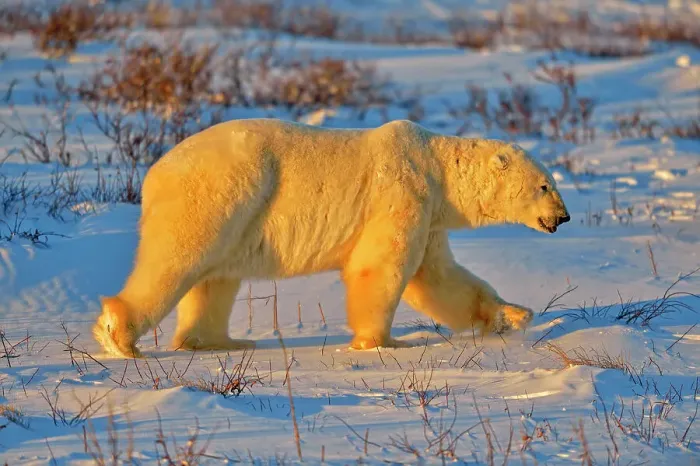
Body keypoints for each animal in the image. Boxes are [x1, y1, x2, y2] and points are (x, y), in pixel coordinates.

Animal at [93, 118, 570, 358]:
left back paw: (217, 342)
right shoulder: (401, 193)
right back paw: (120, 337)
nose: (563, 218)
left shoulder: (430, 214)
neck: (433, 164)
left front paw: (513, 316)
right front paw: (379, 343)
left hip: (235, 213)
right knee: (177, 260)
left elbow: (438, 276)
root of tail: (155, 173)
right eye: (545, 184)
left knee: (215, 279)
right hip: (221, 193)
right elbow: (383, 267)